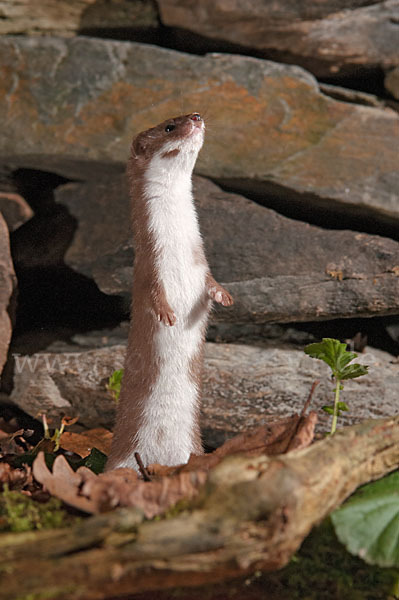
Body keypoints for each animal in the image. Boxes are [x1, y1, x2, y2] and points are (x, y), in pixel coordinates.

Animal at [107, 111, 234, 468]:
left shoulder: (202, 266)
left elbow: (211, 283)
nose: (196, 116)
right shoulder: (150, 268)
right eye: (169, 126)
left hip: (192, 448)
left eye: (191, 115)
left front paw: (224, 296)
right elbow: (152, 292)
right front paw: (166, 312)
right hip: (122, 458)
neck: (178, 252)